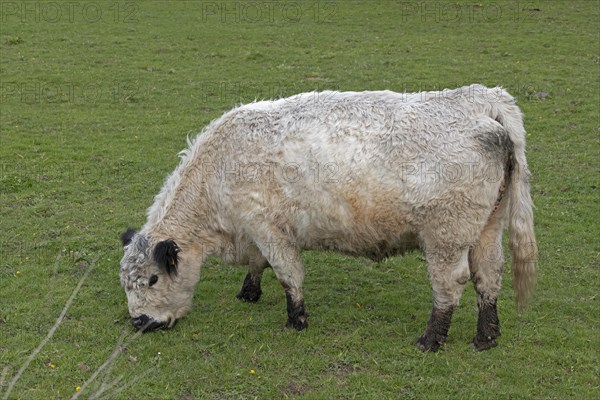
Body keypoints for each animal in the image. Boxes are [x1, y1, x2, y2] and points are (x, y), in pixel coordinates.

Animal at [119, 83, 536, 350]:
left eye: (153, 279)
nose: (139, 322)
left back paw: (431, 339)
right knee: (488, 275)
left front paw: (296, 319)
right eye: (127, 284)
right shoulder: (255, 230)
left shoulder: (269, 228)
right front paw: (249, 292)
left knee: (451, 284)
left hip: (446, 235)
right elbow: (258, 264)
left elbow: (288, 274)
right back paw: (486, 337)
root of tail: (482, 98)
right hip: (486, 227)